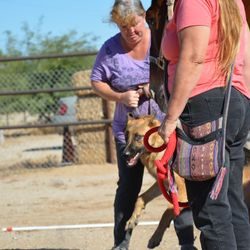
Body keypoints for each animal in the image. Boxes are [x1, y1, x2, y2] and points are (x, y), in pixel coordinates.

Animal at [125, 114, 250, 248]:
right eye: (126, 136)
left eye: (138, 137)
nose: (124, 154)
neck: (161, 148)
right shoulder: (162, 184)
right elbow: (141, 197)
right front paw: (132, 219)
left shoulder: (182, 192)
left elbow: (167, 212)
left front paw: (155, 236)